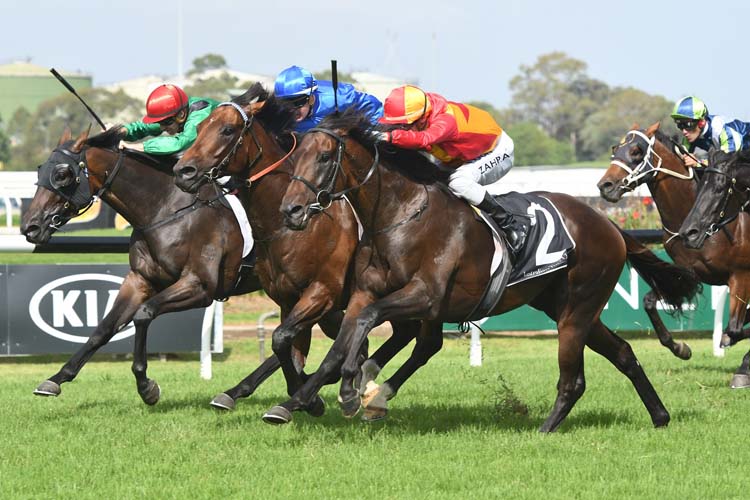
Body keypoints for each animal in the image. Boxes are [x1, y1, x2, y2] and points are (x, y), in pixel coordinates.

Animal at [173, 83, 426, 418]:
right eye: (199, 128)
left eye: (227, 130)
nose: (183, 171)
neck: (287, 226)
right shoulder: (288, 298)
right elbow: (286, 346)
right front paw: (305, 395)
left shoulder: (322, 293)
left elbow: (283, 339)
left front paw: (308, 397)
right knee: (407, 335)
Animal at [274, 111, 704, 432]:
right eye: (296, 156)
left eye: (325, 158)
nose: (290, 211)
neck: (401, 214)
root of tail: (609, 224)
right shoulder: (366, 291)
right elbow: (340, 343)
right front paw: (298, 400)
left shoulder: (424, 295)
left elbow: (365, 324)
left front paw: (350, 389)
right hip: (565, 305)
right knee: (624, 353)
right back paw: (660, 415)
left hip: (577, 309)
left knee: (573, 379)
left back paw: (544, 429)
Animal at [604, 123, 750, 388]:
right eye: (615, 148)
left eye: (637, 151)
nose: (605, 185)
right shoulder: (689, 272)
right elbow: (649, 301)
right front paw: (680, 347)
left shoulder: (742, 275)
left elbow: (733, 329)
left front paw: (737, 359)